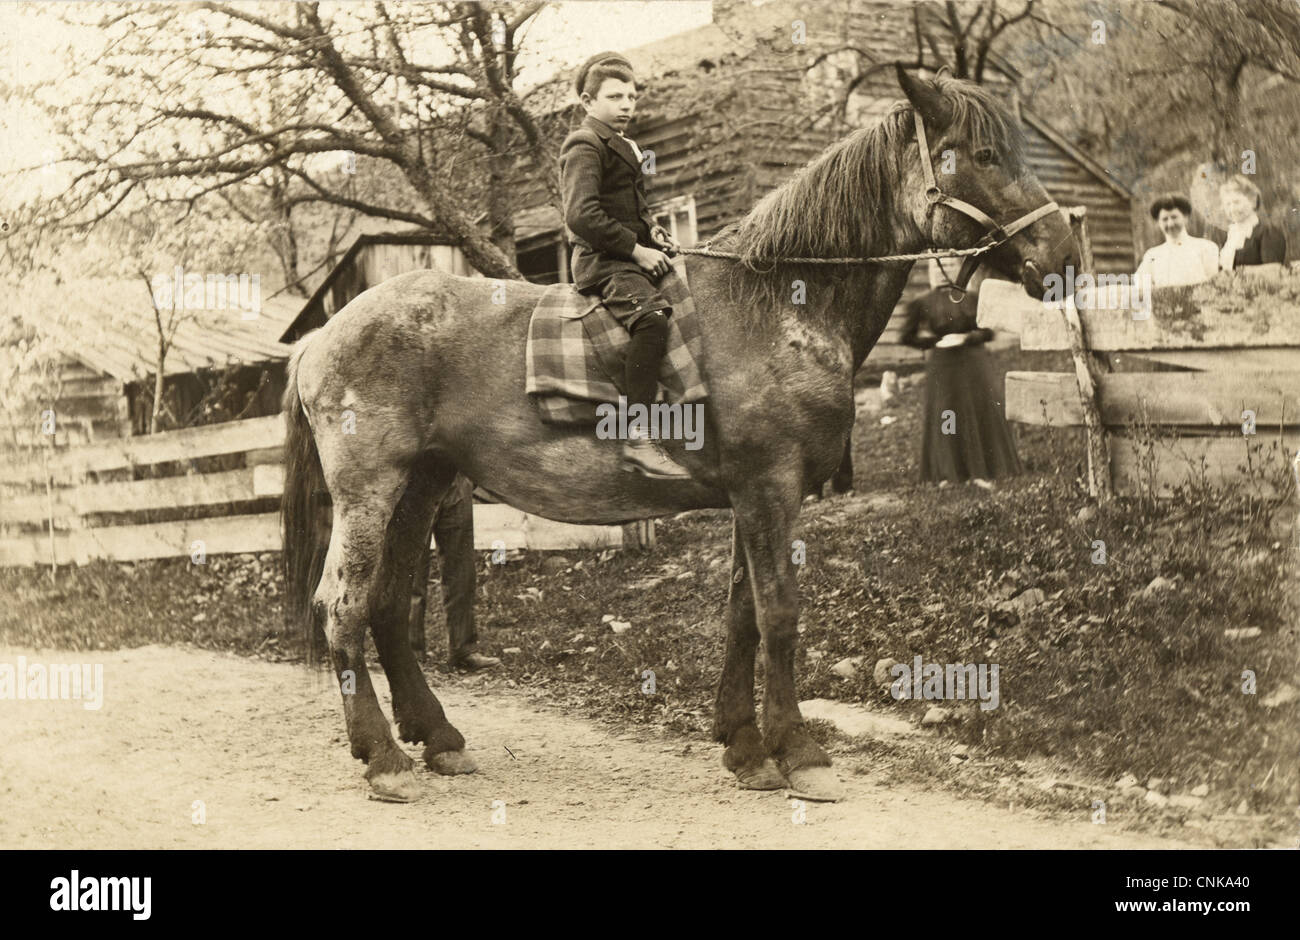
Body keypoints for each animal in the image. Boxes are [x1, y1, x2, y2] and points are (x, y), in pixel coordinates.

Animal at [279, 66, 1071, 800]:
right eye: (983, 154)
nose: (1062, 250)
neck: (776, 303)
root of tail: (322, 336)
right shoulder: (770, 489)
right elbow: (779, 613)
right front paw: (799, 752)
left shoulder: (751, 496)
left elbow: (743, 615)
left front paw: (745, 746)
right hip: (370, 491)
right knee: (343, 607)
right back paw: (383, 758)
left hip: (424, 482)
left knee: (386, 605)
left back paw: (436, 737)